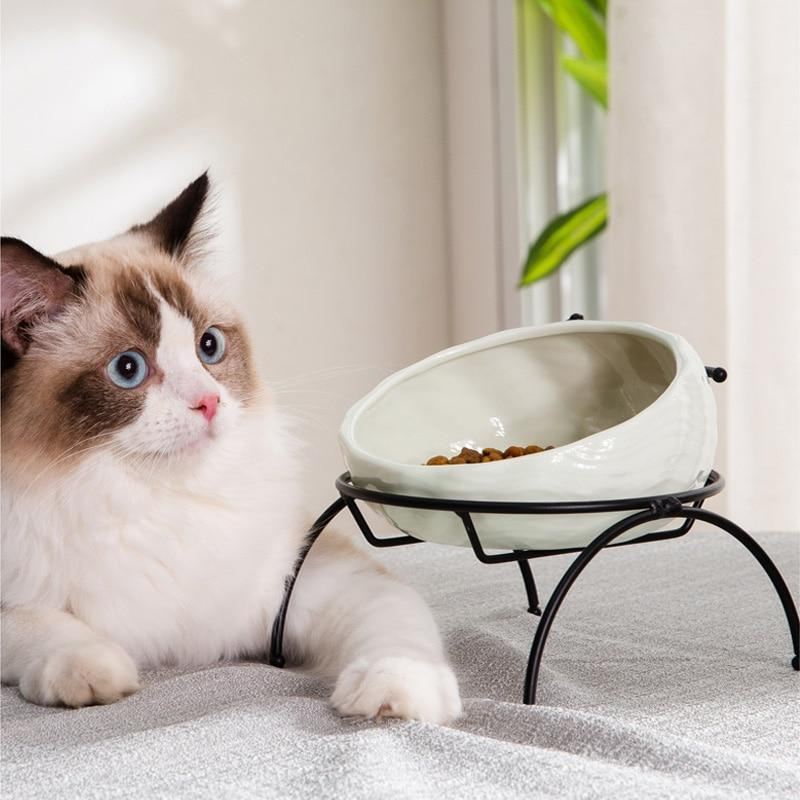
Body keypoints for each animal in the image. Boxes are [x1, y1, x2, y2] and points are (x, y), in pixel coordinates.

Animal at [0, 175, 462, 724]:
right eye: (128, 369)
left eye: (209, 346)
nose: (208, 402)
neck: (154, 501)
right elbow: (42, 625)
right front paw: (94, 675)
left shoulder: (319, 578)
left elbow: (398, 630)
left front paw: (393, 696)